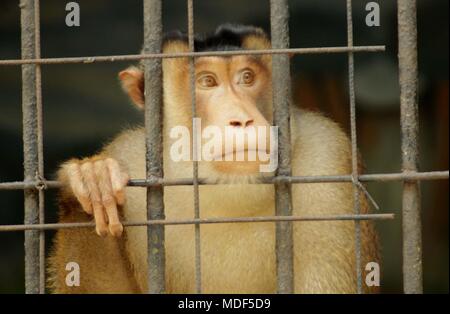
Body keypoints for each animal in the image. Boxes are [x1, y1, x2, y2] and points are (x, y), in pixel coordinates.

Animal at [48, 24, 380, 294]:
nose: (241, 119)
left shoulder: (328, 162)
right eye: (207, 81)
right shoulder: (127, 159)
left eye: (246, 77)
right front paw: (92, 181)